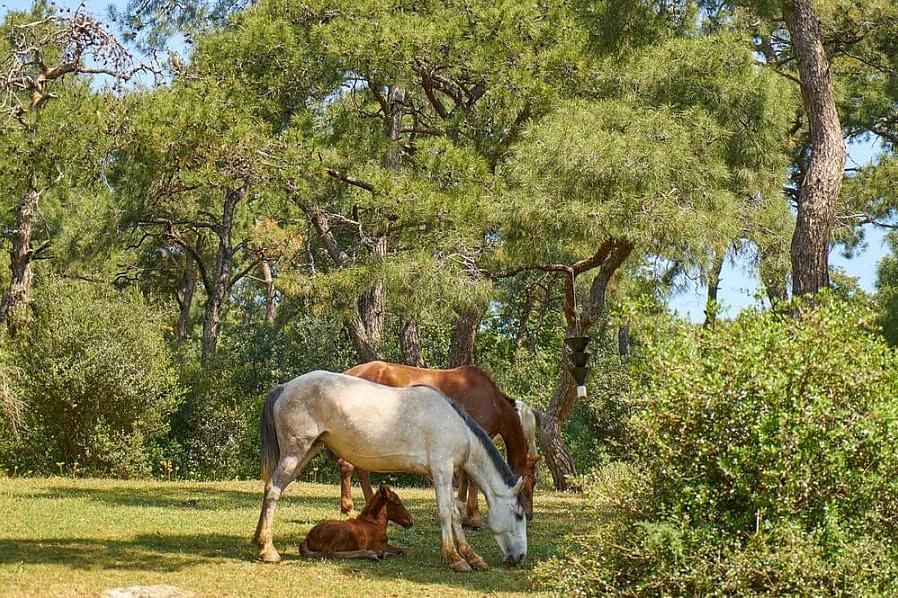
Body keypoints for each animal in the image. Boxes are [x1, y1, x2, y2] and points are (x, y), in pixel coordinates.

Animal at [250, 372, 524, 576]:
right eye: (520, 515)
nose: (520, 557)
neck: (455, 426)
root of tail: (284, 387)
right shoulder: (442, 470)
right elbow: (446, 513)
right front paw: (455, 558)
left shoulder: (445, 475)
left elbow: (455, 512)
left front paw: (471, 557)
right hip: (295, 452)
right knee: (273, 491)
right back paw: (268, 551)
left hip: (306, 451)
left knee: (270, 487)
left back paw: (258, 540)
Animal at [342, 364, 540, 528]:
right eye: (530, 482)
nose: (529, 515)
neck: (493, 402)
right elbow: (472, 479)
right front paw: (474, 517)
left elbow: (465, 477)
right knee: (349, 466)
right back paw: (351, 507)